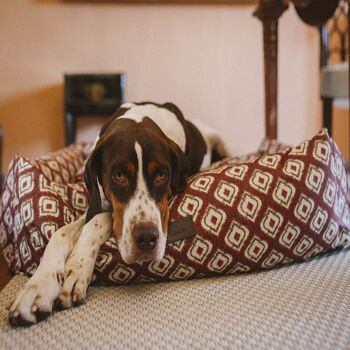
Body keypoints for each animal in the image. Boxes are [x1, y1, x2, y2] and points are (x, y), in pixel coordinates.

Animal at [7, 101, 230, 326]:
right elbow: (61, 233)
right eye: (118, 175)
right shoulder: (97, 201)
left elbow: (99, 220)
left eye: (162, 175)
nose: (146, 238)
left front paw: (77, 268)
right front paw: (38, 287)